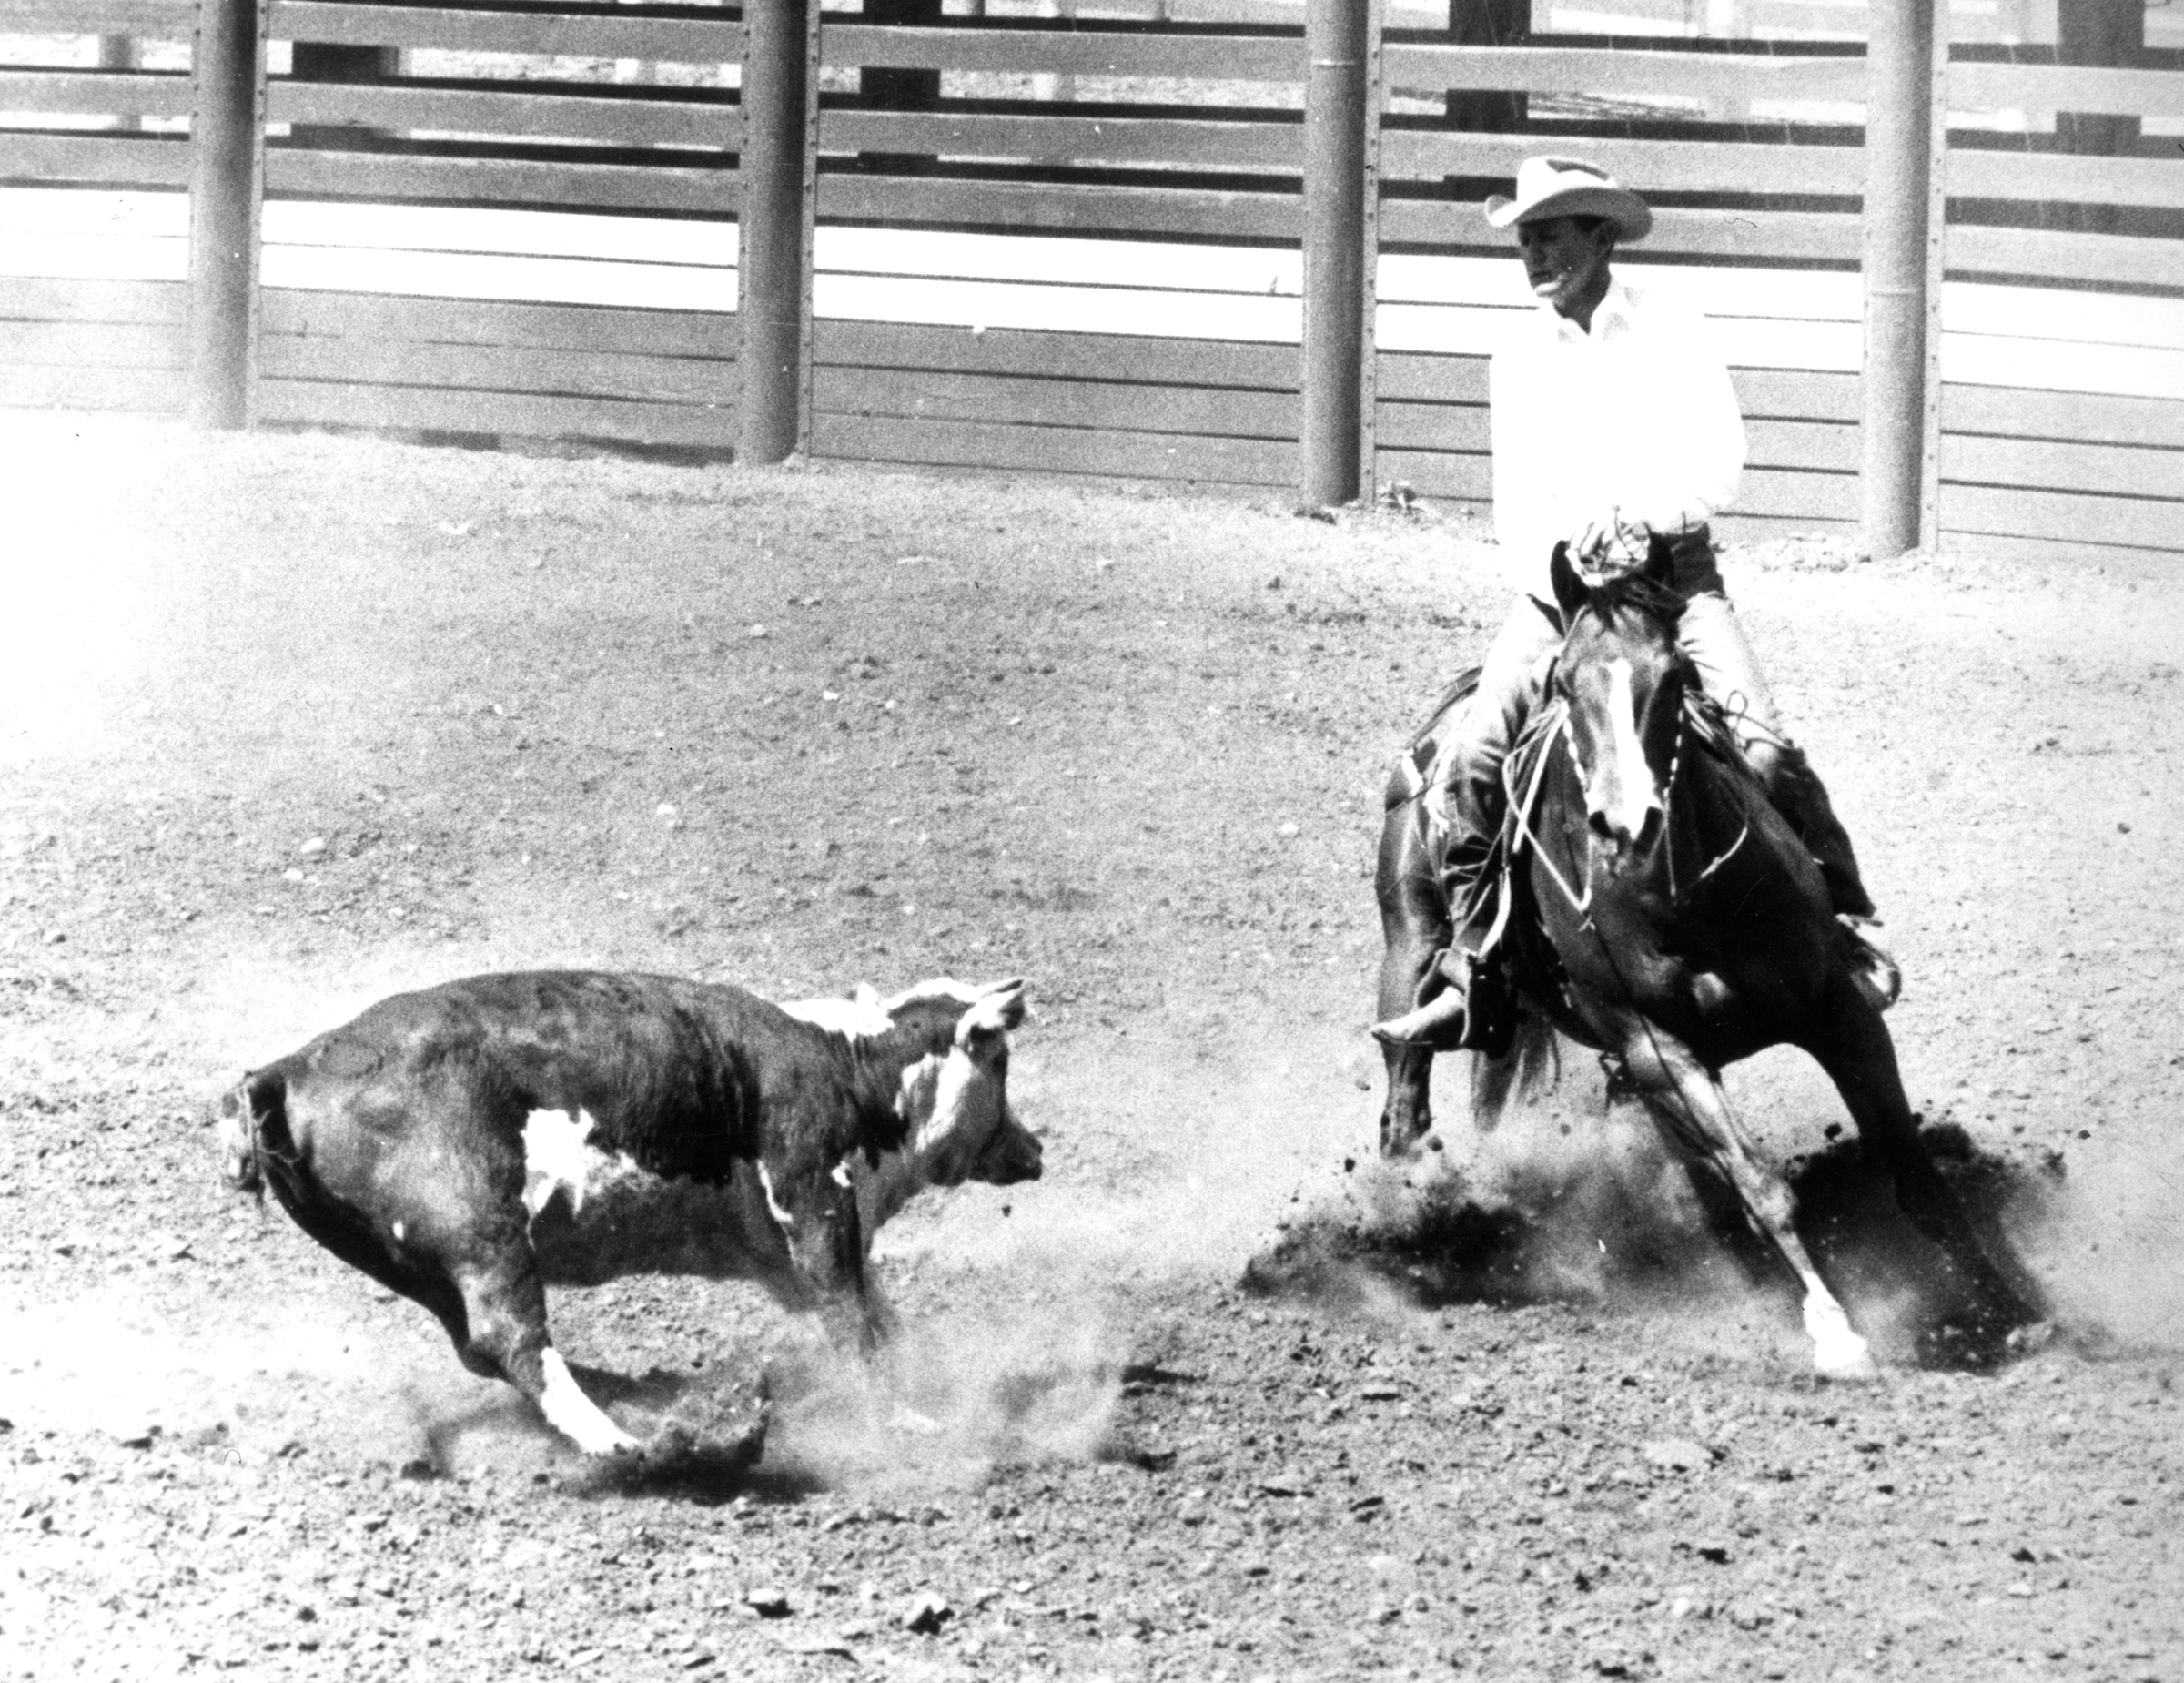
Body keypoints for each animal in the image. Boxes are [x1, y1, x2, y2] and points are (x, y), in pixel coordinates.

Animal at [219, 961, 1030, 1451]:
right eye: (999, 1058)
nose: (1031, 1147)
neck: (842, 1062)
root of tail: (290, 1067)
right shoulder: (812, 1196)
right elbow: (849, 1312)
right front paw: (904, 1415)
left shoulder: (780, 1249)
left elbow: (874, 1307)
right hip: (481, 1230)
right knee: (513, 1335)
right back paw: (626, 1442)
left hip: (407, 1256)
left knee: (480, 1345)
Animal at [1371, 543, 2053, 1373]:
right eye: (1565, 682)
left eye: (1674, 675)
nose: (1626, 823)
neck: (1680, 895)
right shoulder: (1662, 1050)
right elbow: (1765, 1189)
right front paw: (1837, 1332)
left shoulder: (1840, 1013)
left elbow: (1915, 1174)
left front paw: (2010, 1309)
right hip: (1412, 943)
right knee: (1404, 1101)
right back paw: (1411, 1225)